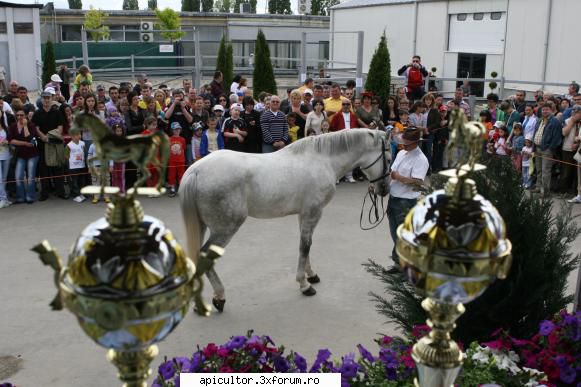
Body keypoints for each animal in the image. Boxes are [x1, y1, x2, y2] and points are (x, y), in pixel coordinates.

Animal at [179, 130, 392, 312]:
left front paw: (311, 275)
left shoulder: (304, 214)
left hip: (203, 226)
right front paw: (304, 285)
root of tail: (195, 171)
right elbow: (305, 246)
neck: (323, 160)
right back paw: (220, 297)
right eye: (389, 159)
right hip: (226, 228)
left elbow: (307, 245)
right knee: (205, 255)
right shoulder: (313, 212)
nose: (384, 189)